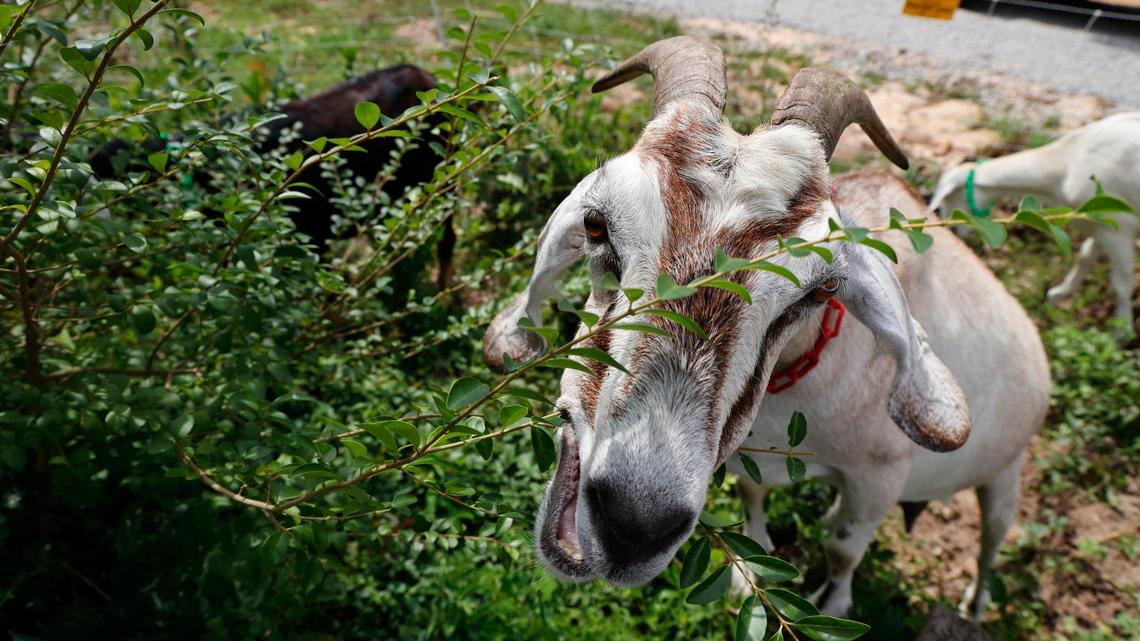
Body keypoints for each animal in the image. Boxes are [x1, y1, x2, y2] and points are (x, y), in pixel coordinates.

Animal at [482, 37, 1050, 620]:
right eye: (596, 226)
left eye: (820, 290)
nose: (635, 525)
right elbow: (756, 502)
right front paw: (750, 578)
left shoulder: (880, 479)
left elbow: (844, 551)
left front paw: (833, 605)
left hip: (1006, 476)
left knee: (990, 541)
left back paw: (976, 606)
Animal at [930, 112, 1140, 337]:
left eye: (945, 202)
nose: (953, 230)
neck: (1066, 163)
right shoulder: (1099, 224)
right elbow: (1084, 256)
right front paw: (1059, 293)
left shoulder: (1117, 229)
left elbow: (1120, 282)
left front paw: (1122, 331)